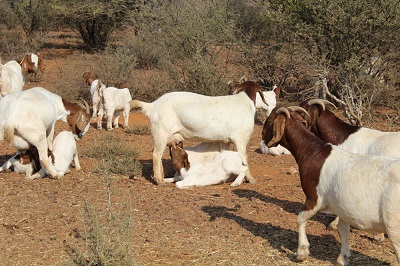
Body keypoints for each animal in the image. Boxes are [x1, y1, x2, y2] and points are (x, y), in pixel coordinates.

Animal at [131, 80, 268, 185]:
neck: (245, 103)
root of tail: (153, 105)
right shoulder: (240, 139)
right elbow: (245, 158)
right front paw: (250, 179)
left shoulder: (225, 141)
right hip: (161, 132)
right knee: (156, 155)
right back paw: (159, 180)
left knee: (158, 155)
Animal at [260, 106, 400, 266]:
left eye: (269, 121)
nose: (262, 136)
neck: (312, 152)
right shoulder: (343, 208)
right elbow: (343, 229)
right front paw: (342, 258)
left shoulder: (314, 198)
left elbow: (300, 219)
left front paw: (302, 252)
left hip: (394, 225)